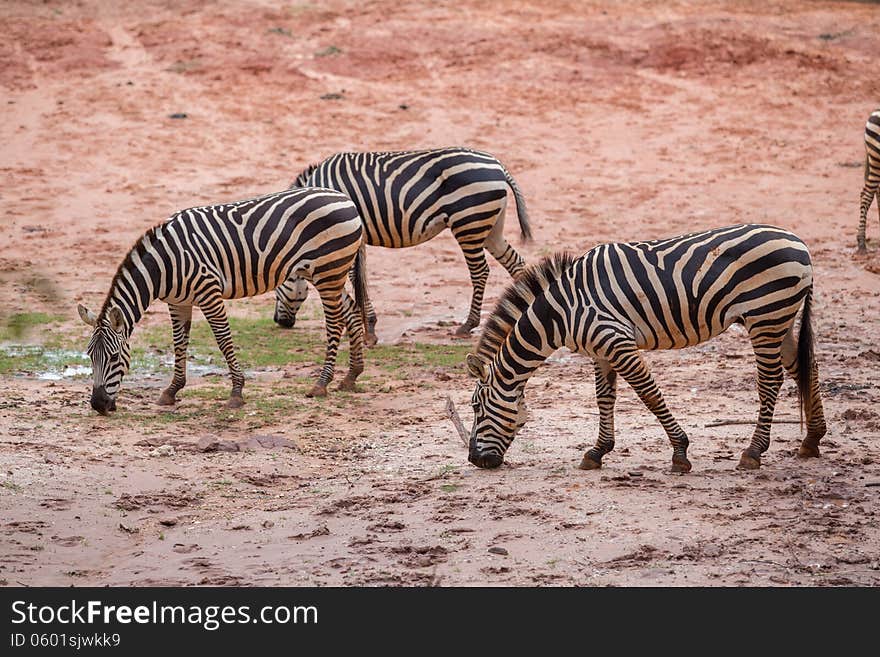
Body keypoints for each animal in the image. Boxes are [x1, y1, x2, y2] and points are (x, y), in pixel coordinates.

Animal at [77, 184, 370, 412]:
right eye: (90, 356)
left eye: (115, 357)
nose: (98, 405)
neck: (164, 265)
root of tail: (345, 199)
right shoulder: (178, 302)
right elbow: (179, 343)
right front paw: (172, 390)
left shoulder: (210, 294)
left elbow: (223, 340)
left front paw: (236, 393)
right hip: (328, 273)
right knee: (352, 312)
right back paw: (351, 377)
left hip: (328, 272)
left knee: (335, 323)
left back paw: (322, 384)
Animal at [270, 147, 528, 340]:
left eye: (277, 288)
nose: (279, 322)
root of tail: (498, 165)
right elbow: (359, 276)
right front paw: (366, 326)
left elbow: (354, 276)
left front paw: (367, 328)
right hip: (490, 226)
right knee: (515, 262)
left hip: (469, 223)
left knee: (480, 272)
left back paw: (468, 325)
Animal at [468, 224, 824, 472]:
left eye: (476, 407)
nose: (473, 460)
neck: (560, 312)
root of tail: (800, 244)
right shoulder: (600, 349)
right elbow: (604, 398)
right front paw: (598, 451)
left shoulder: (616, 340)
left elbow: (649, 394)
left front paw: (680, 452)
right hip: (779, 319)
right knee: (805, 368)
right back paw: (812, 440)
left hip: (765, 316)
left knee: (771, 381)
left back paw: (753, 452)